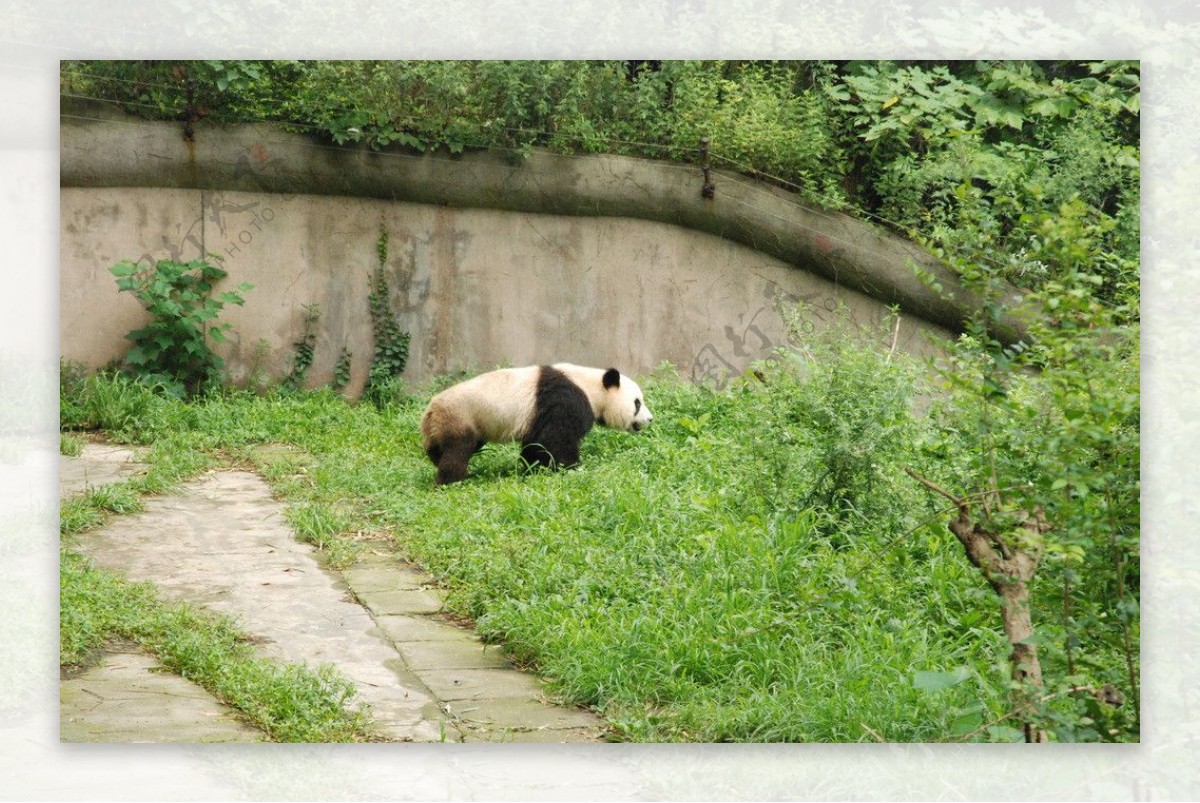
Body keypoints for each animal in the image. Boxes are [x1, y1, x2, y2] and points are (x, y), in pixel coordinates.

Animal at [417, 362, 652, 482]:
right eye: (637, 403)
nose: (650, 419)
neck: (590, 385)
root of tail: (429, 413)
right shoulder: (565, 399)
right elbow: (556, 439)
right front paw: (571, 467)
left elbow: (536, 442)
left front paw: (532, 467)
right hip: (459, 416)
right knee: (457, 450)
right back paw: (452, 479)